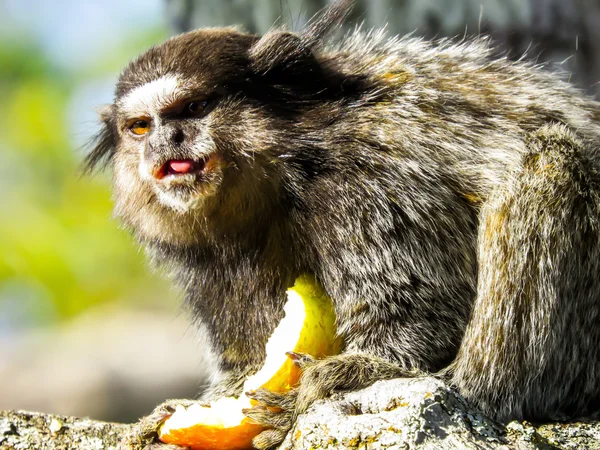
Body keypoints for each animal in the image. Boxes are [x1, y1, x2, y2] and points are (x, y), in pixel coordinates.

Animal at [86, 0, 600, 450]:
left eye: (195, 107)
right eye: (140, 127)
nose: (166, 142)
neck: (284, 175)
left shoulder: (369, 180)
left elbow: (419, 316)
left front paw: (330, 385)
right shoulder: (207, 257)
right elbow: (247, 357)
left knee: (551, 160)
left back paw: (476, 387)